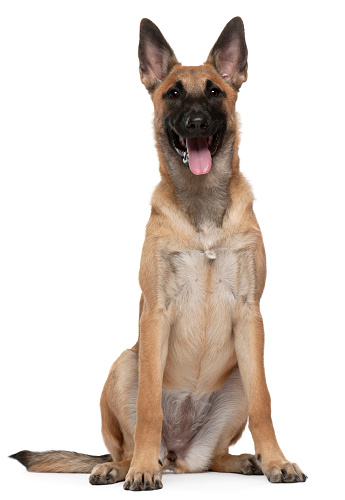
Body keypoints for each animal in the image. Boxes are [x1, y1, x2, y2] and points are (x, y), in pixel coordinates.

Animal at [10, 17, 306, 490]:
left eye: (214, 91)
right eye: (173, 94)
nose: (196, 123)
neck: (201, 210)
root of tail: (179, 452)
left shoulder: (250, 317)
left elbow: (265, 403)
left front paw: (276, 460)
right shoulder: (155, 315)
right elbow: (150, 406)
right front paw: (142, 470)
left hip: (238, 378)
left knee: (212, 457)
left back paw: (246, 460)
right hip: (123, 364)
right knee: (127, 444)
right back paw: (123, 465)